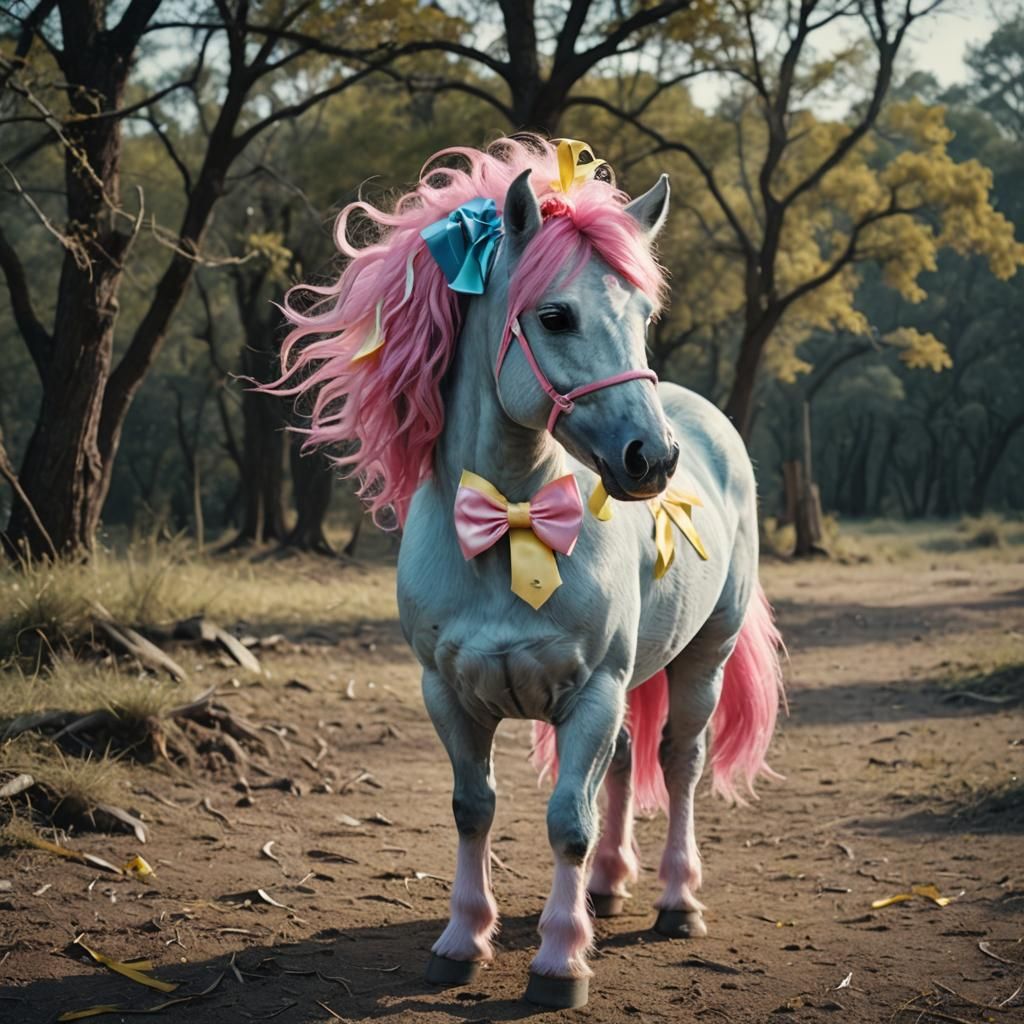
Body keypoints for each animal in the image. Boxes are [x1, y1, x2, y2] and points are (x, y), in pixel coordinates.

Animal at [270, 136, 784, 1010]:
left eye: (643, 316)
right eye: (555, 315)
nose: (653, 459)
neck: (512, 525)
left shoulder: (594, 693)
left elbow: (566, 822)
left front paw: (559, 960)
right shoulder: (448, 693)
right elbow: (472, 808)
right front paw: (460, 940)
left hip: (701, 660)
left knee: (679, 764)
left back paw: (677, 900)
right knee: (626, 766)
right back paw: (608, 887)